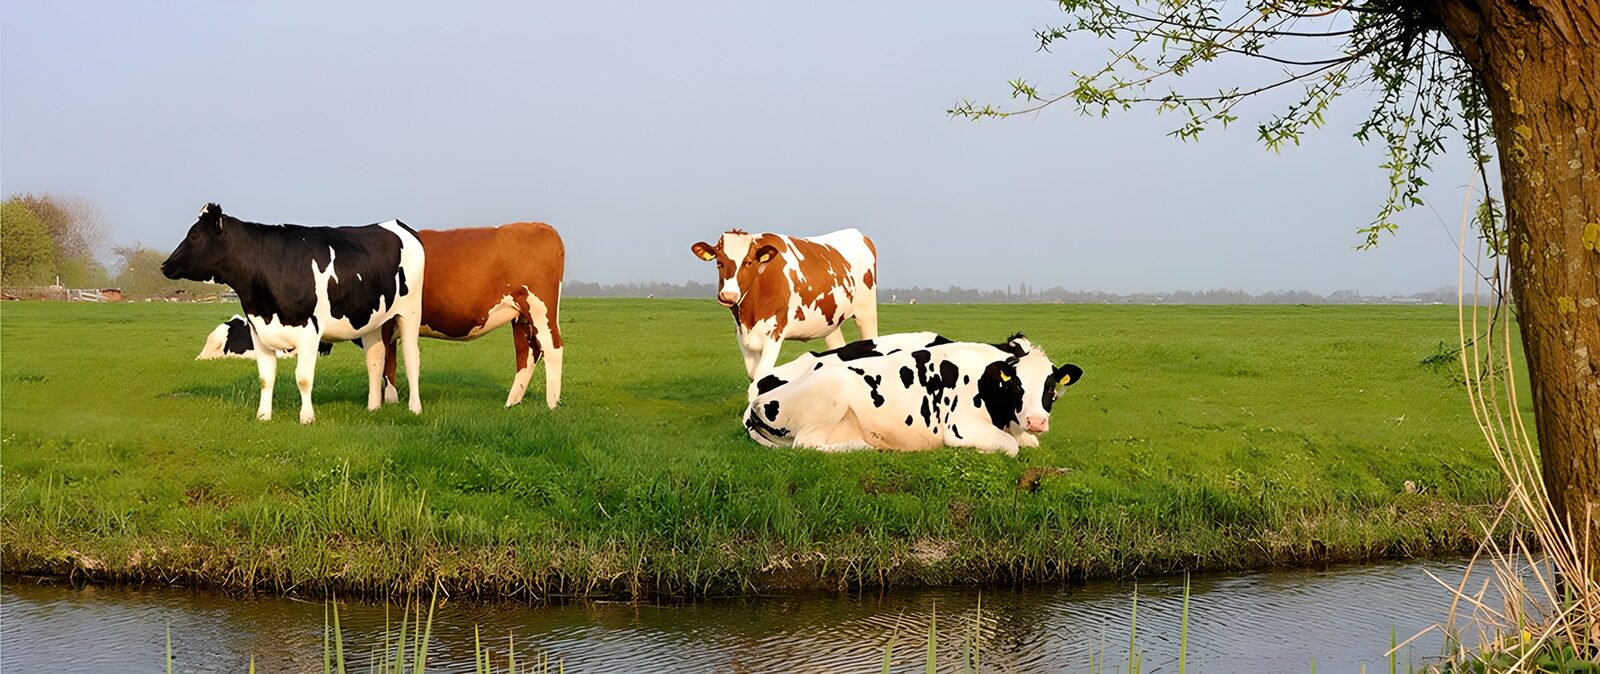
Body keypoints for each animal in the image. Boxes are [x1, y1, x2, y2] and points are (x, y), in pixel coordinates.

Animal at [162, 203, 425, 423]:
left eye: (194, 236)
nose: (165, 265)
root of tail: (399, 224)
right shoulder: (259, 332)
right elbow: (265, 378)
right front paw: (263, 416)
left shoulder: (309, 332)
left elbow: (303, 378)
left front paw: (307, 417)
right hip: (370, 320)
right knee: (375, 359)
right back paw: (373, 408)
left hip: (410, 311)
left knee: (412, 358)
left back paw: (415, 408)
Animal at [196, 222, 565, 409]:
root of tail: (540, 226)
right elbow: (386, 360)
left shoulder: (385, 323)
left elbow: (386, 362)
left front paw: (389, 399)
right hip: (521, 315)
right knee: (528, 353)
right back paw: (512, 402)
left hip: (540, 307)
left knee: (553, 348)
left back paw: (551, 402)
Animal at [690, 228, 878, 379]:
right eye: (719, 262)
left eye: (748, 262)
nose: (728, 295)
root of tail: (859, 234)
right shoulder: (743, 337)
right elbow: (752, 376)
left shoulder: (774, 333)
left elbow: (761, 375)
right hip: (829, 320)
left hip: (866, 313)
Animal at [743, 333, 1082, 456]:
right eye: (1016, 385)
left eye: (1050, 386)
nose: (1036, 421)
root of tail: (756, 403)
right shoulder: (960, 428)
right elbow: (1010, 447)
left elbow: (1026, 442)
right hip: (832, 393)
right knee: (806, 444)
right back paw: (862, 446)